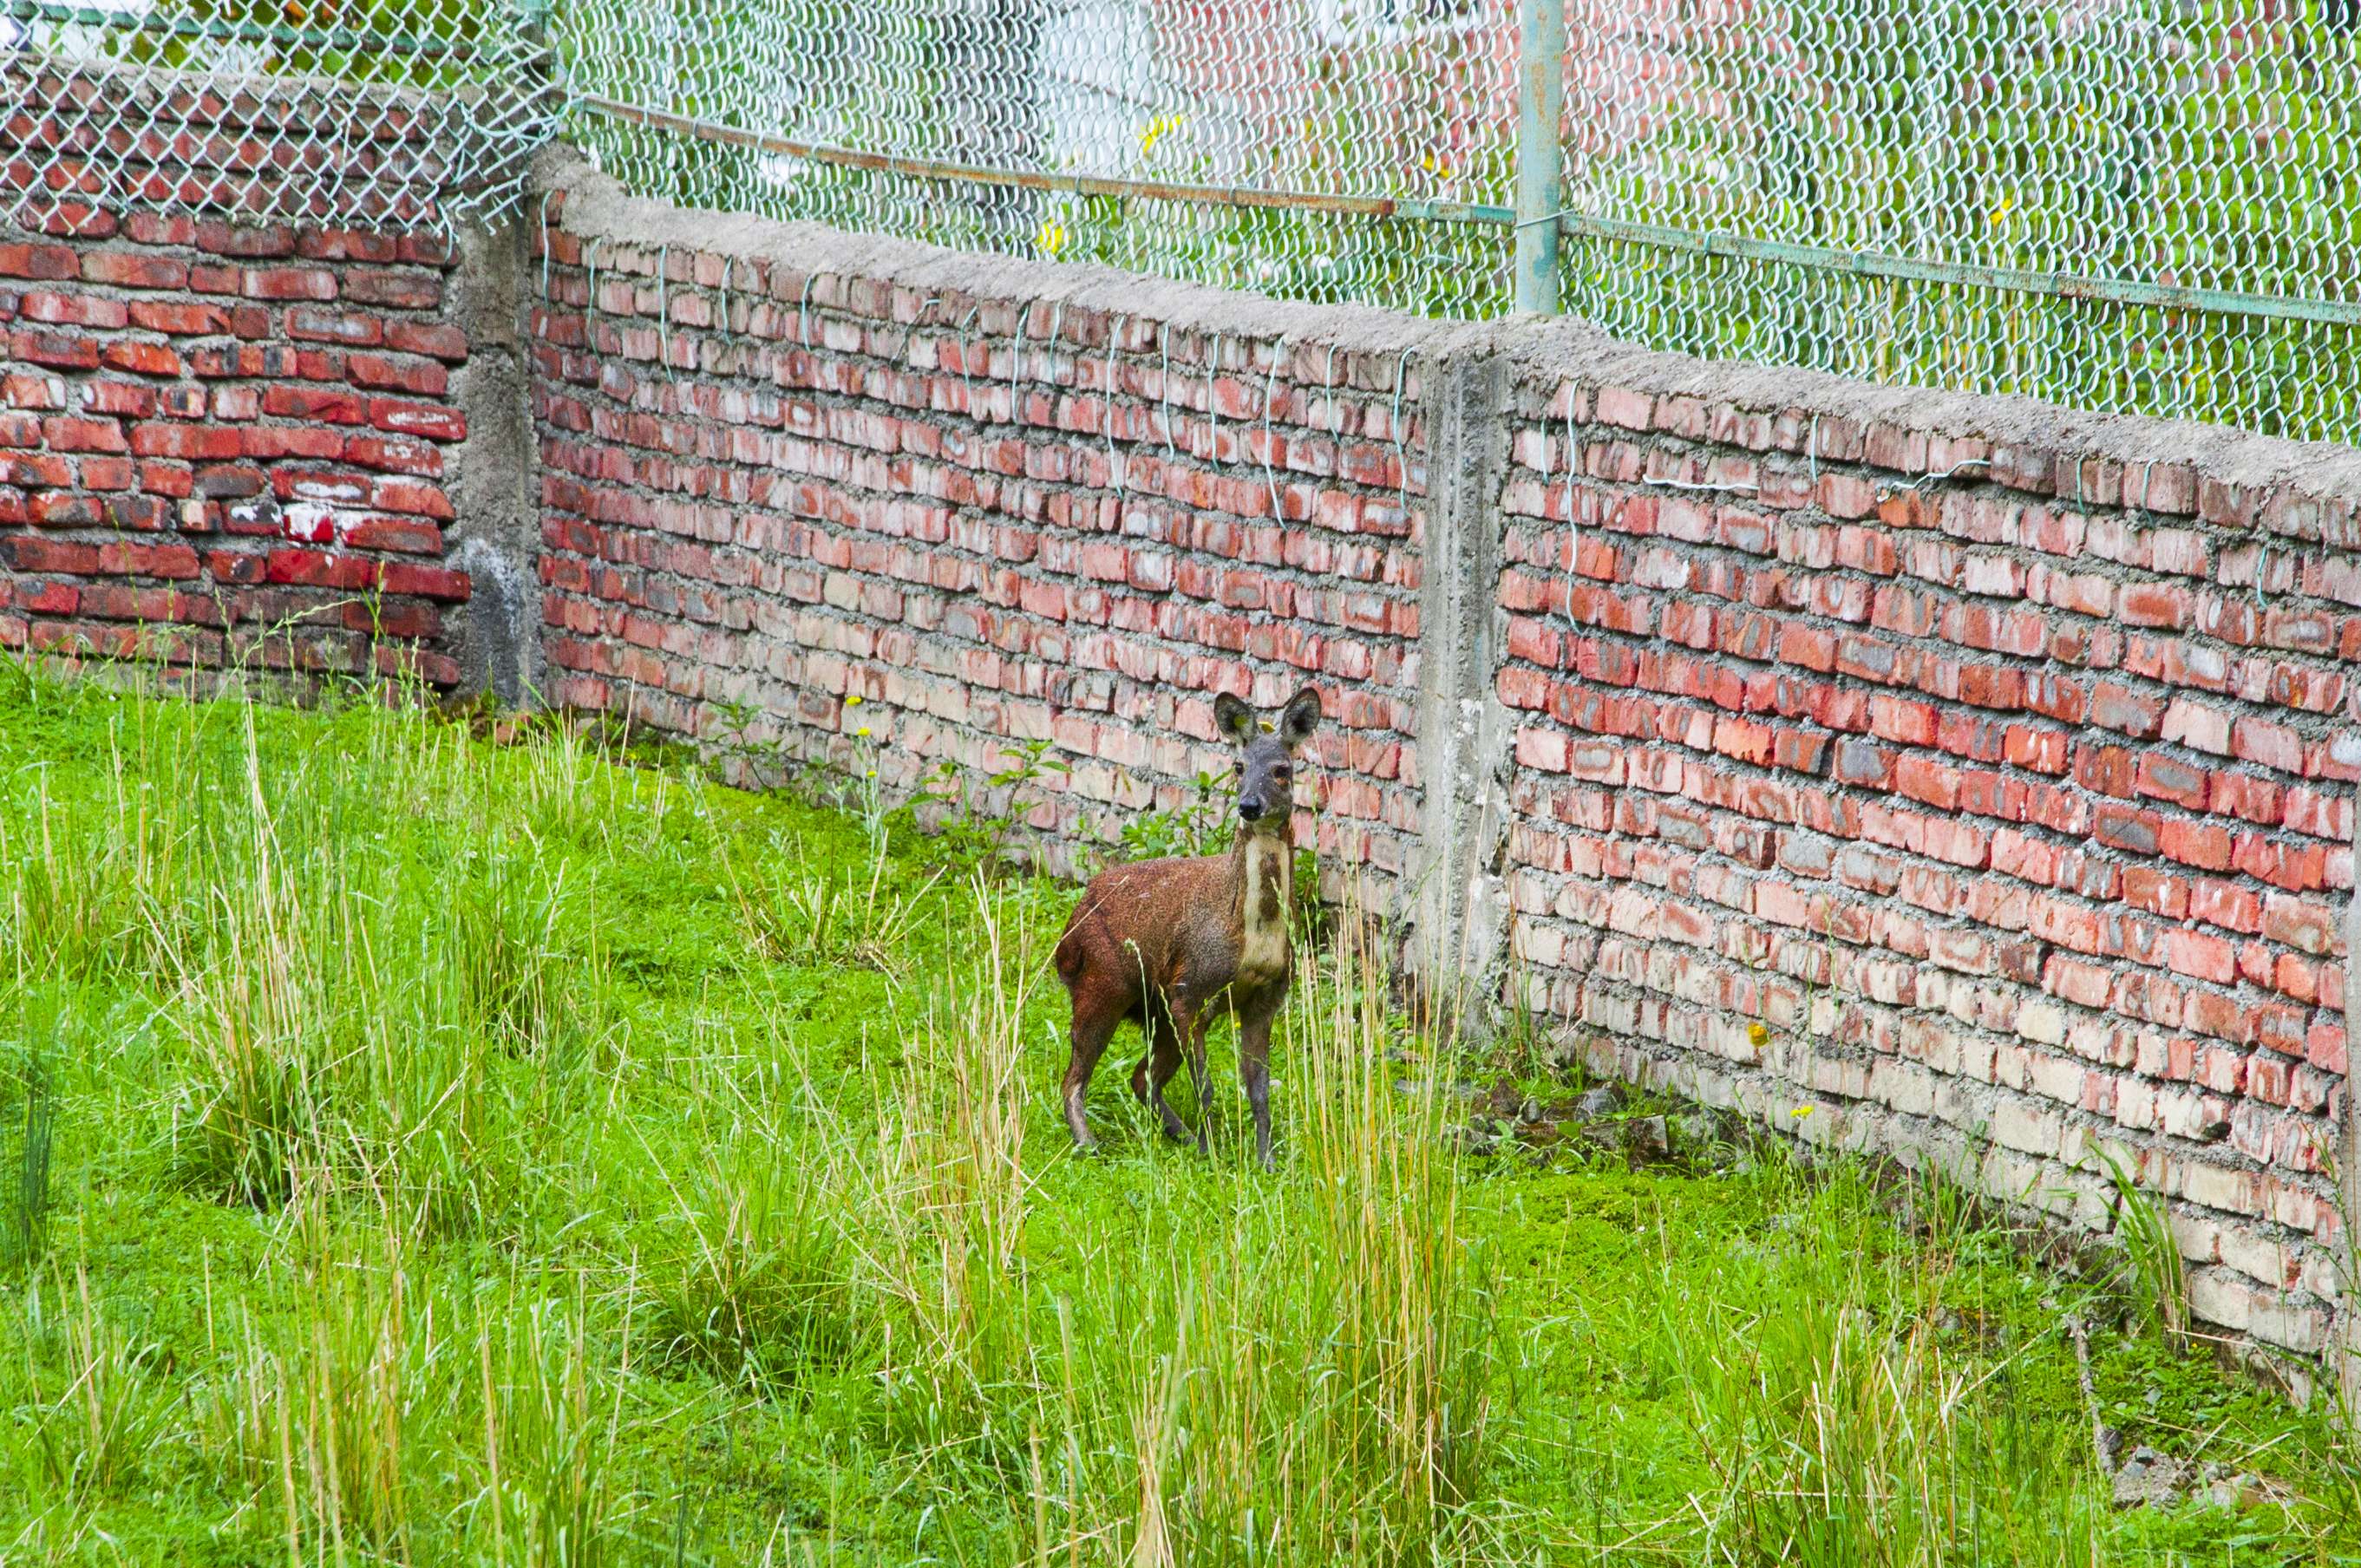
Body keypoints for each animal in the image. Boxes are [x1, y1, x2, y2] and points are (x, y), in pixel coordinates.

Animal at [1057, 680, 1331, 1171]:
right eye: (1239, 766)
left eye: (1282, 769)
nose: (1249, 805)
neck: (1249, 931)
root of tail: (1066, 941)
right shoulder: (1189, 988)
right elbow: (1205, 1088)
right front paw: (1213, 1155)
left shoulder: (1268, 994)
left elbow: (1259, 1092)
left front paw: (1265, 1161)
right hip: (1104, 981)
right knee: (1075, 1076)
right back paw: (1091, 1143)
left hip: (1152, 1008)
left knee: (1140, 1078)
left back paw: (1178, 1136)